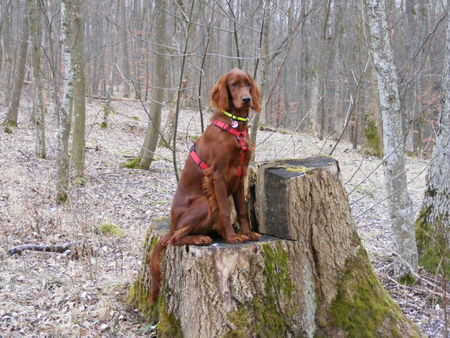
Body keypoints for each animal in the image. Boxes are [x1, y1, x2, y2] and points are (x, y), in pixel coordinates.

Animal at [149, 69, 260, 302]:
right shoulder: (217, 175)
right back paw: (200, 238)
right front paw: (232, 237)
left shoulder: (240, 175)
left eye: (248, 84)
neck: (234, 126)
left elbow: (242, 209)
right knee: (175, 238)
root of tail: (171, 225)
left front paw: (247, 233)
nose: (246, 98)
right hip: (204, 203)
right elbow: (226, 210)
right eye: (234, 84)